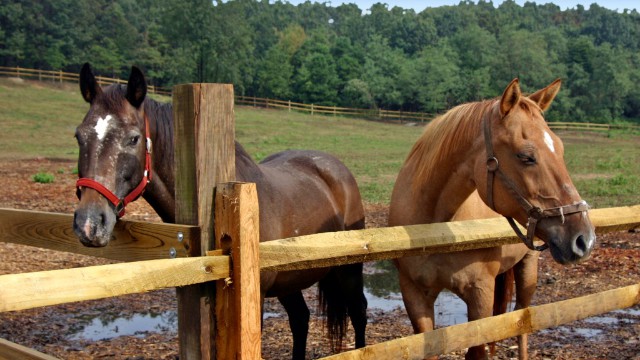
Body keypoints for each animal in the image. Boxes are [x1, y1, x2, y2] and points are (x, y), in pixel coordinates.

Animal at [72, 63, 368, 358]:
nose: (89, 224)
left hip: (348, 271)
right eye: (79, 136)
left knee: (358, 312)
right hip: (290, 279)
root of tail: (335, 167)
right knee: (300, 319)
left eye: (133, 138)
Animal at [388, 77, 596, 358]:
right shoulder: (415, 295)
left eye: (561, 150)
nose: (583, 239)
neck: (435, 229)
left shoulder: (479, 295)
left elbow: (478, 349)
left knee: (521, 323)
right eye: (526, 156)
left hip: (528, 270)